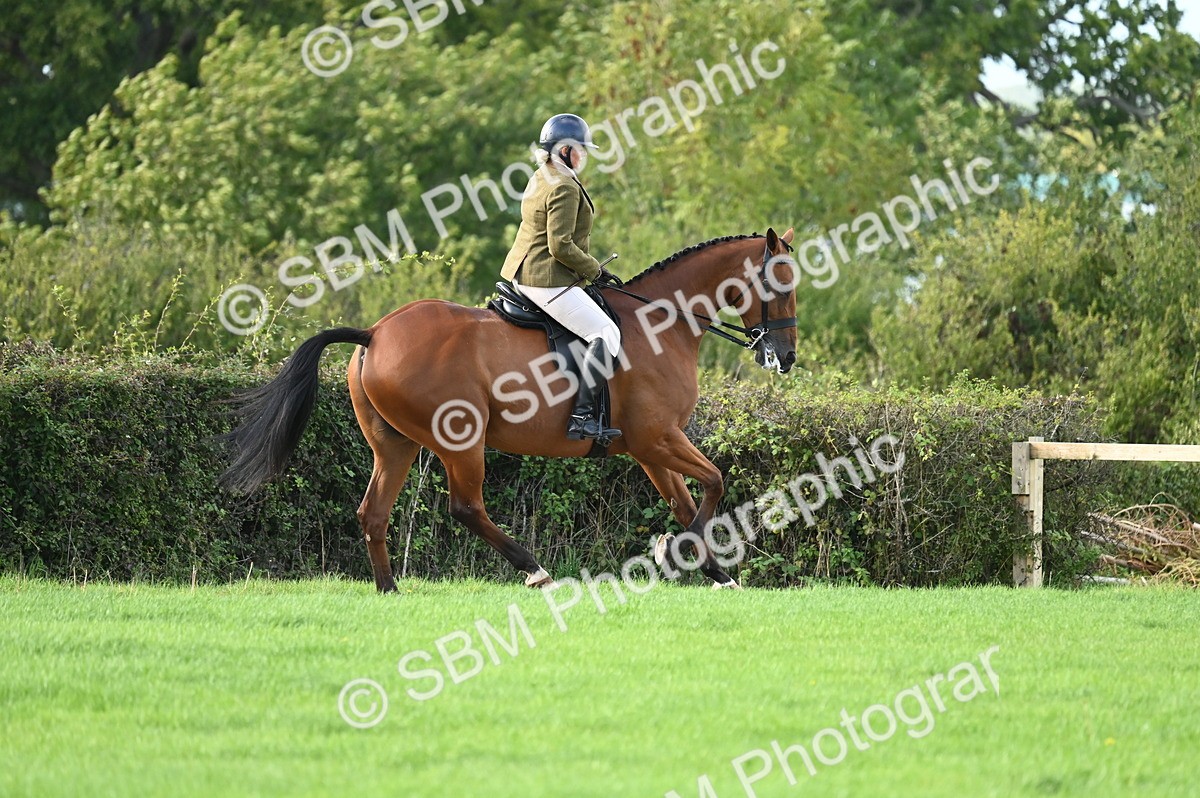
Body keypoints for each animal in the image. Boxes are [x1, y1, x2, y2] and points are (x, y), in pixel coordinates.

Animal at [221, 227, 798, 591]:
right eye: (782, 283)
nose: (786, 357)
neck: (662, 322)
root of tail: (376, 332)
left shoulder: (651, 447)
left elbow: (684, 501)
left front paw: (714, 572)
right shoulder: (657, 438)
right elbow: (716, 482)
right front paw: (676, 553)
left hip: (395, 444)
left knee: (374, 512)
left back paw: (389, 590)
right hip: (461, 441)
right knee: (465, 507)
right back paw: (534, 570)